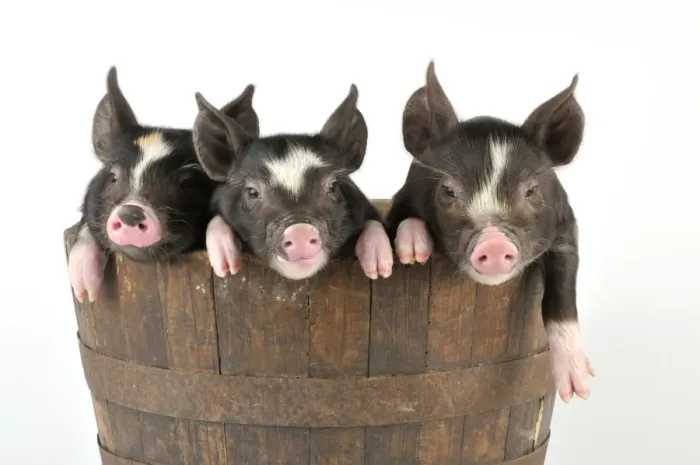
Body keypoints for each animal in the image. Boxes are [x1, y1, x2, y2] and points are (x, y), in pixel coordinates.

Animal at [192, 84, 393, 281]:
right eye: (252, 192)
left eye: (332, 186)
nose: (300, 232)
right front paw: (226, 267)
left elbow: (374, 223)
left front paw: (380, 269)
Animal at [386, 62, 594, 403]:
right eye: (448, 190)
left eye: (531, 190)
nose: (494, 243)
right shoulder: (401, 197)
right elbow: (399, 220)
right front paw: (413, 251)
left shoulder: (565, 226)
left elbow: (562, 291)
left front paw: (578, 389)